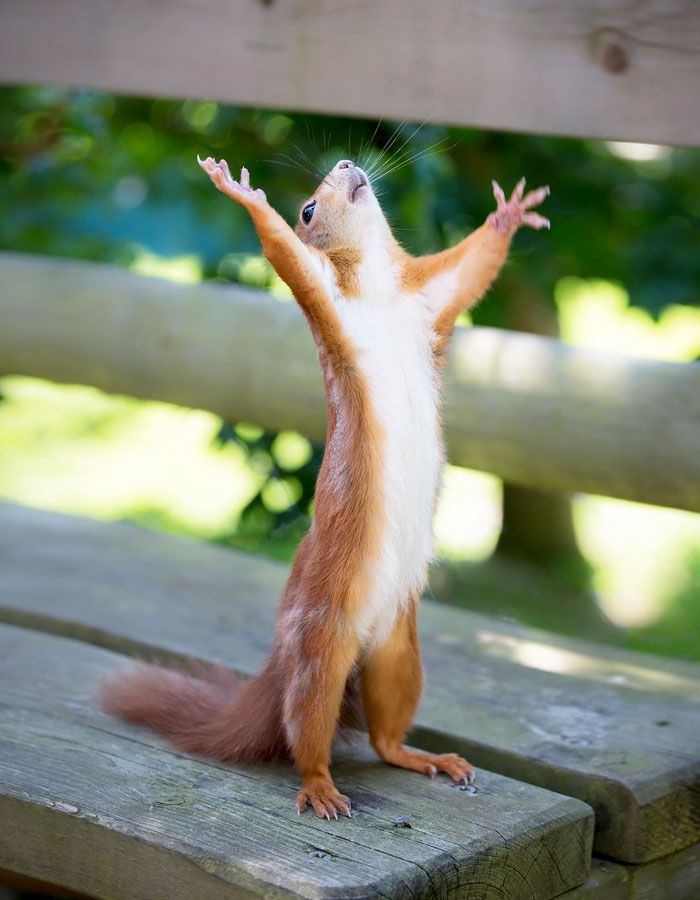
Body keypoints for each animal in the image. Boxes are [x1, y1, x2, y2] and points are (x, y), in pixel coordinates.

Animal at [104, 153, 548, 816]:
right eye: (308, 209)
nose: (346, 164)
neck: (380, 286)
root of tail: (282, 661)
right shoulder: (323, 294)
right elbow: (284, 252)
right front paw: (244, 194)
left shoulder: (430, 298)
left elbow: (471, 268)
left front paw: (509, 214)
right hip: (321, 647)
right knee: (305, 732)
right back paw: (320, 787)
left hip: (399, 652)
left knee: (385, 735)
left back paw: (425, 757)